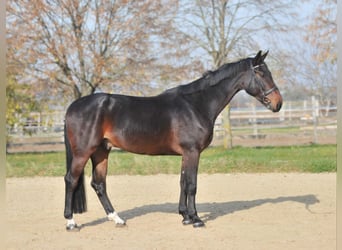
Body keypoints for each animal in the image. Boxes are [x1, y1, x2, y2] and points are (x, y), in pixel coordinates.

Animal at [64, 50, 284, 230]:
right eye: (261, 73)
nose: (278, 103)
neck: (196, 105)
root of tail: (73, 106)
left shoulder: (186, 154)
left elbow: (183, 182)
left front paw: (185, 216)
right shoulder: (192, 151)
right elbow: (192, 184)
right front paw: (196, 219)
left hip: (101, 151)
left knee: (99, 183)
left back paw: (117, 219)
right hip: (83, 152)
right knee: (71, 179)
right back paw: (71, 222)